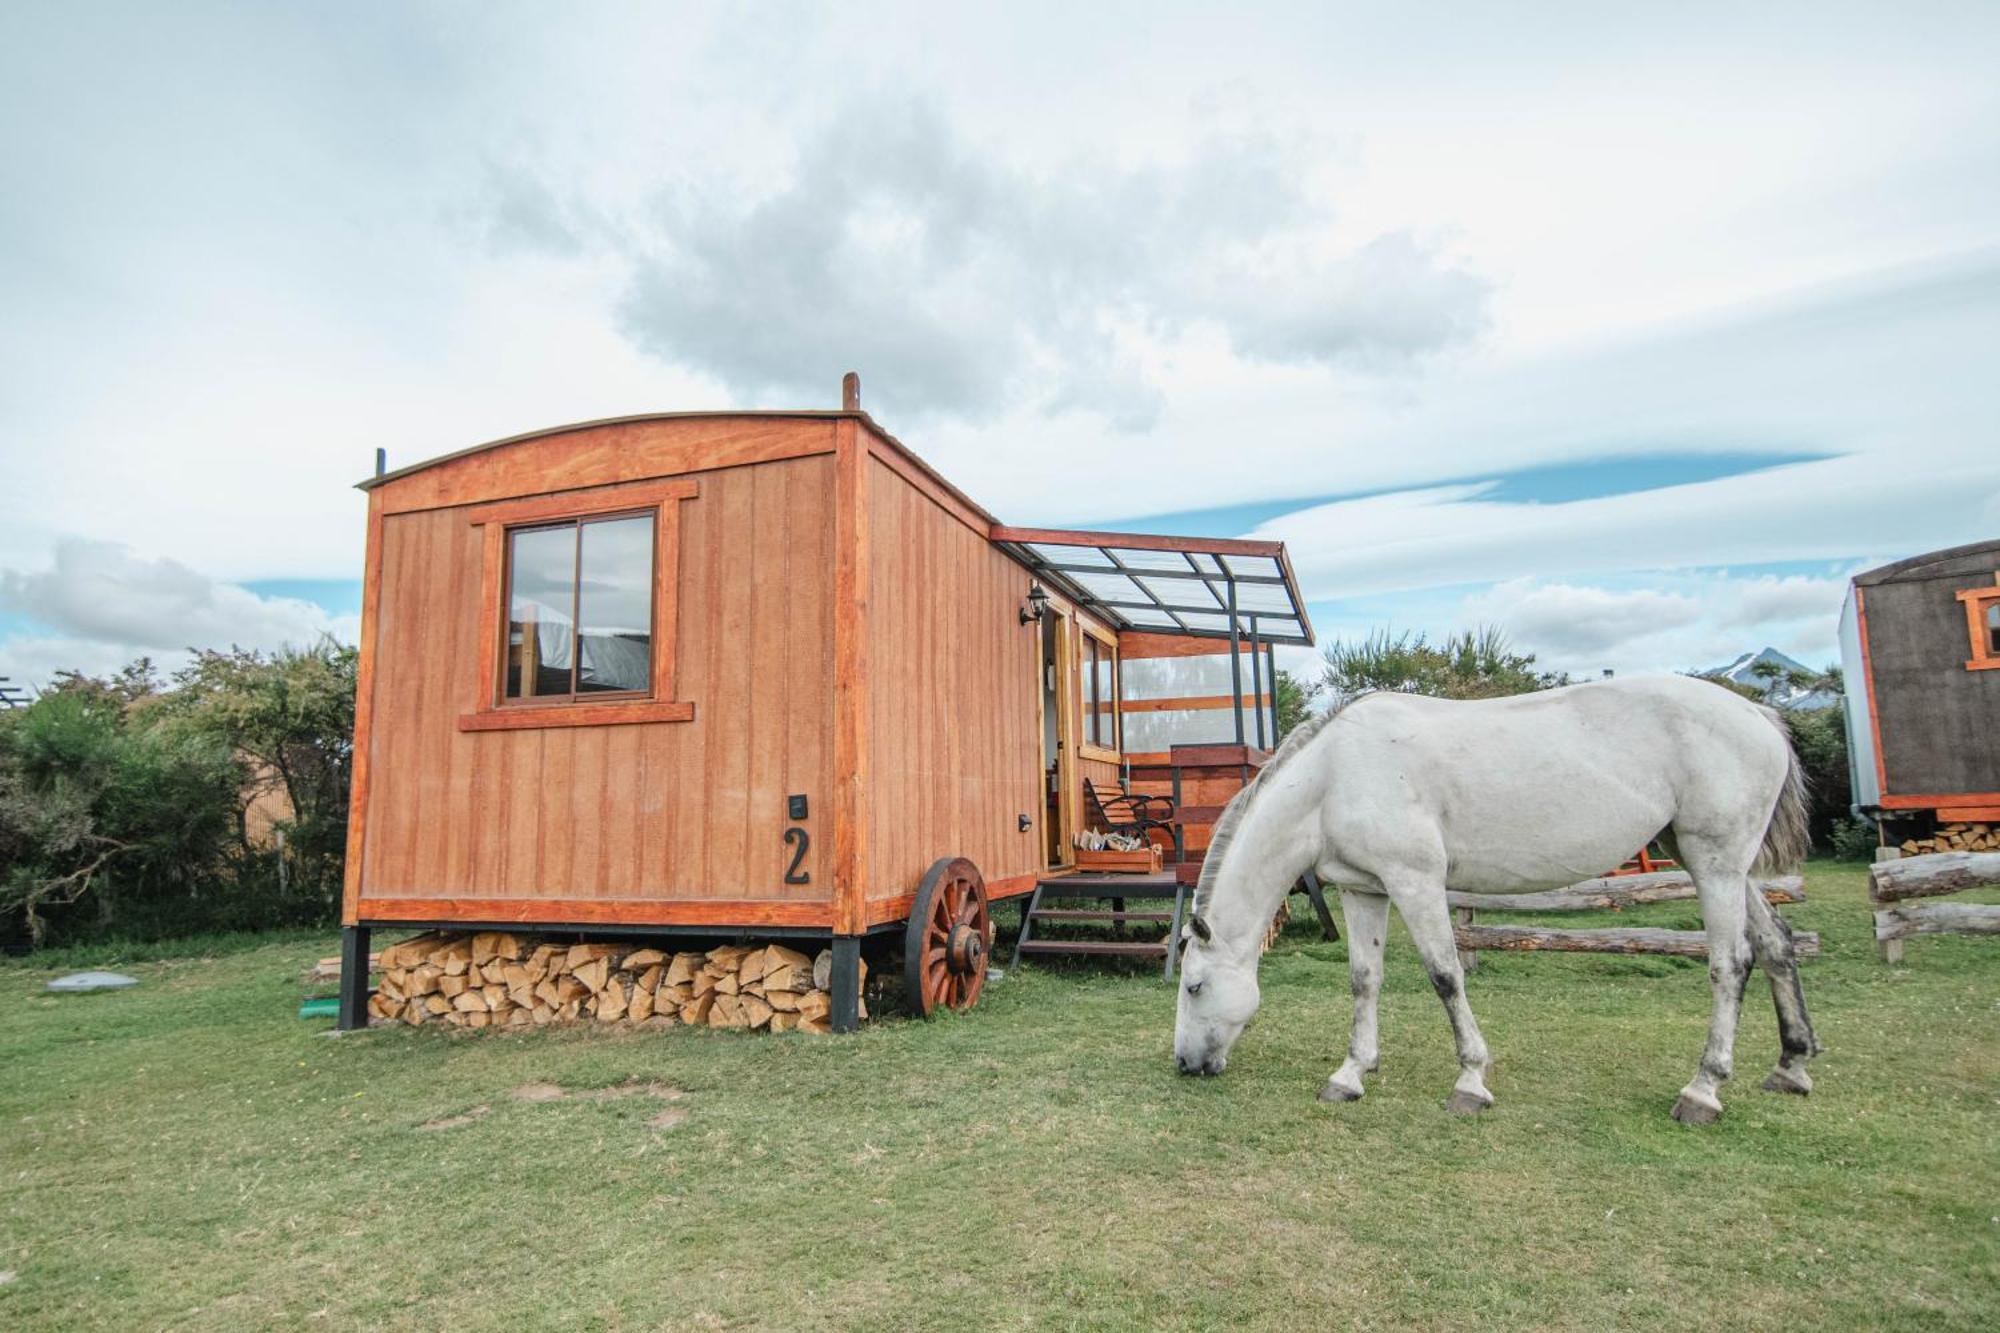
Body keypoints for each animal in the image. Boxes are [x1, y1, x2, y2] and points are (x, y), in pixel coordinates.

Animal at [1176, 676, 1824, 1120]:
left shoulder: (1416, 883)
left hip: (1715, 865)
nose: (1185, 1065)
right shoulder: (1364, 890)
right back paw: (1790, 1066)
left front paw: (1470, 1082)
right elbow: (1364, 980)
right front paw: (1351, 1073)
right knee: (1776, 945)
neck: (1334, 775)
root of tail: (1757, 713)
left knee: (1730, 963)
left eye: (1194, 986)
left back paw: (1703, 1090)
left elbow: (1445, 975)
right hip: (1717, 864)